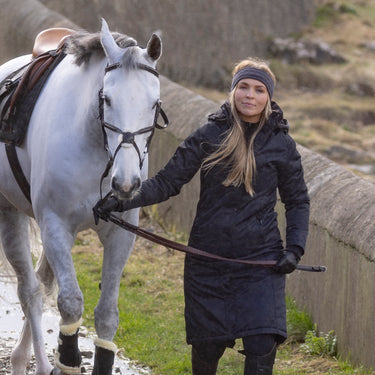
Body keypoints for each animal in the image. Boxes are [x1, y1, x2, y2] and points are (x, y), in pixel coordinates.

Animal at [0, 19, 166, 375]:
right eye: (107, 98)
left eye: (154, 104)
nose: (126, 183)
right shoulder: (55, 225)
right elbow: (70, 303)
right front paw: (66, 359)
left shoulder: (120, 233)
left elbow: (106, 315)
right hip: (10, 212)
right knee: (31, 291)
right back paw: (34, 363)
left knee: (40, 283)